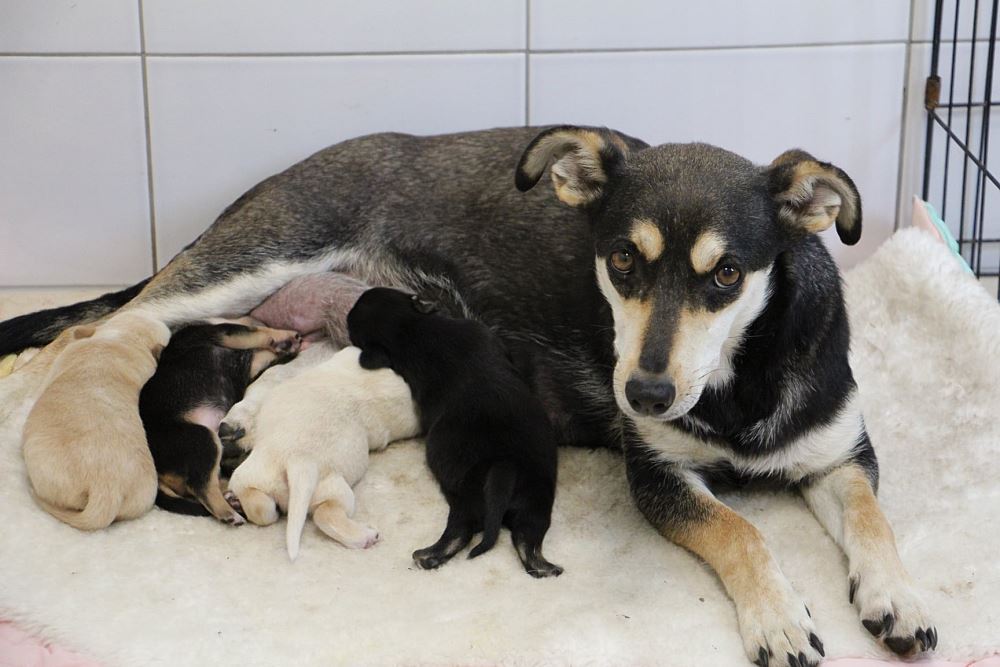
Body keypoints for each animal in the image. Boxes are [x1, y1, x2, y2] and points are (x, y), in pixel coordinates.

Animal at [138, 322, 301, 522]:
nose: (298, 339)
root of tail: (158, 472)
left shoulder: (248, 364)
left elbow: (262, 354)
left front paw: (286, 347)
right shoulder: (220, 333)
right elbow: (256, 333)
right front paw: (287, 337)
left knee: (211, 481)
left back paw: (233, 500)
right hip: (203, 439)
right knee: (202, 487)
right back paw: (229, 513)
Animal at [348, 287, 563, 577]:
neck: (411, 329)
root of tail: (504, 465)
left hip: (500, 495)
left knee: (490, 533)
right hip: (509, 494)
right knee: (505, 535)